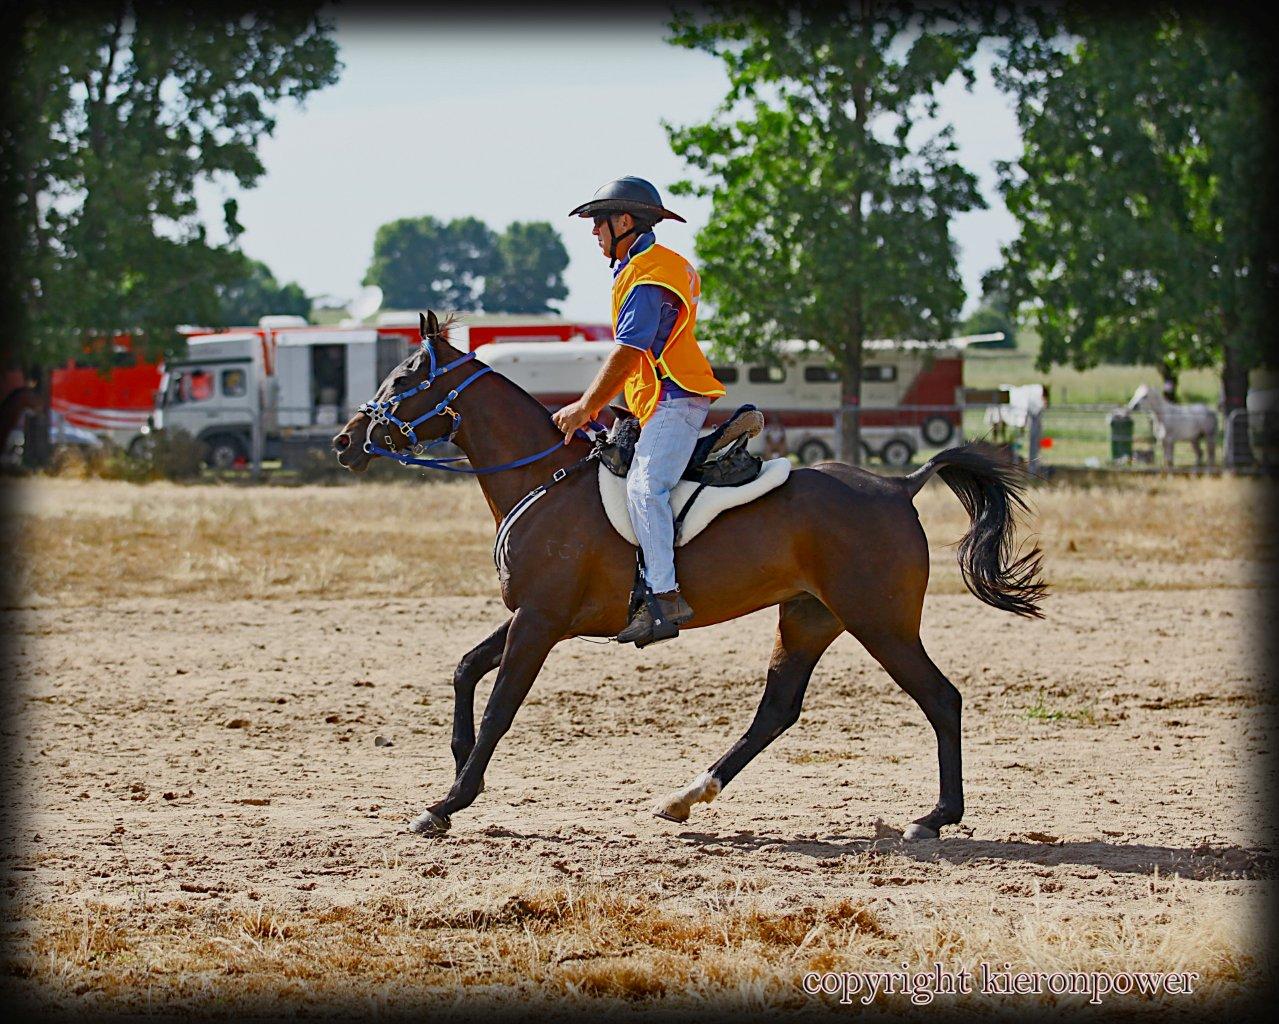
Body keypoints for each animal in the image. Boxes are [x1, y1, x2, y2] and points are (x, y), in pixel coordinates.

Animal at [332, 311, 1047, 842]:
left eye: (402, 379)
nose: (343, 441)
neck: (544, 480)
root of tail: (900, 484)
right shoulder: (532, 615)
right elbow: (463, 670)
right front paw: (456, 766)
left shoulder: (540, 622)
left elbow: (501, 704)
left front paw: (449, 800)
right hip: (809, 617)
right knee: (777, 710)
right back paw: (687, 795)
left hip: (881, 623)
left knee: (941, 699)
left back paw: (936, 817)